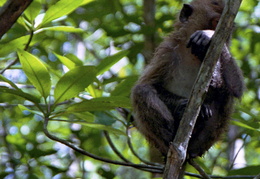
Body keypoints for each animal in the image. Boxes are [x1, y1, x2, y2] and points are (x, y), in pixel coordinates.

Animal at [131, 0, 245, 159]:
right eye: (216, 23)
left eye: (226, 30)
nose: (225, 37)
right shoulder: (167, 51)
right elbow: (148, 84)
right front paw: (182, 104)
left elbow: (236, 89)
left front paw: (207, 38)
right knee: (141, 91)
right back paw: (171, 139)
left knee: (227, 96)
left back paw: (192, 149)